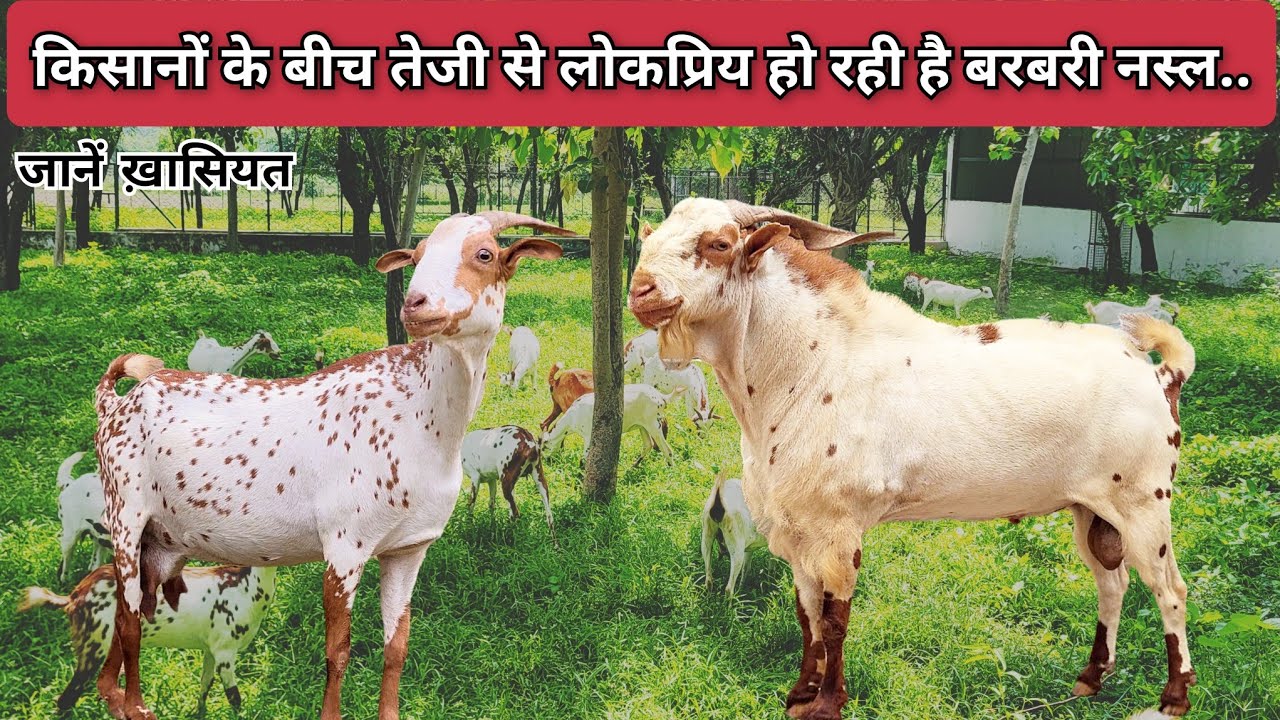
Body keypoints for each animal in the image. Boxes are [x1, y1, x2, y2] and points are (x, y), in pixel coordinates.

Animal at [19, 563, 275, 718]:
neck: (246, 588)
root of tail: (74, 596)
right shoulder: (225, 651)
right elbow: (234, 698)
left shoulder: (211, 650)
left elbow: (204, 687)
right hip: (94, 644)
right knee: (66, 699)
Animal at [92, 212, 569, 720]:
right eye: (416, 257)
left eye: (484, 254)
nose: (415, 304)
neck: (420, 417)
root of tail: (114, 403)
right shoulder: (345, 545)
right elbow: (337, 651)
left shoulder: (409, 549)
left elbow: (397, 646)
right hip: (125, 513)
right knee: (128, 617)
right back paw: (135, 705)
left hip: (162, 543)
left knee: (134, 613)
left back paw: (114, 695)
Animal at [541, 384, 683, 463]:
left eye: (543, 447)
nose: (546, 460)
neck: (573, 416)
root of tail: (662, 397)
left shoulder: (588, 435)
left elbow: (584, 459)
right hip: (643, 426)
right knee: (648, 445)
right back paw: (633, 466)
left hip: (654, 425)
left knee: (667, 450)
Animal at [629, 198, 1198, 718]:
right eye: (651, 237)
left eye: (718, 243)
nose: (641, 291)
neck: (813, 365)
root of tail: (1159, 373)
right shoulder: (794, 530)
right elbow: (806, 613)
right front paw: (799, 695)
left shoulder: (839, 531)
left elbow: (834, 620)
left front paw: (828, 702)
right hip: (1095, 510)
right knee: (1112, 582)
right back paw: (1090, 679)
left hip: (1145, 503)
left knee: (1170, 589)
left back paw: (1173, 699)